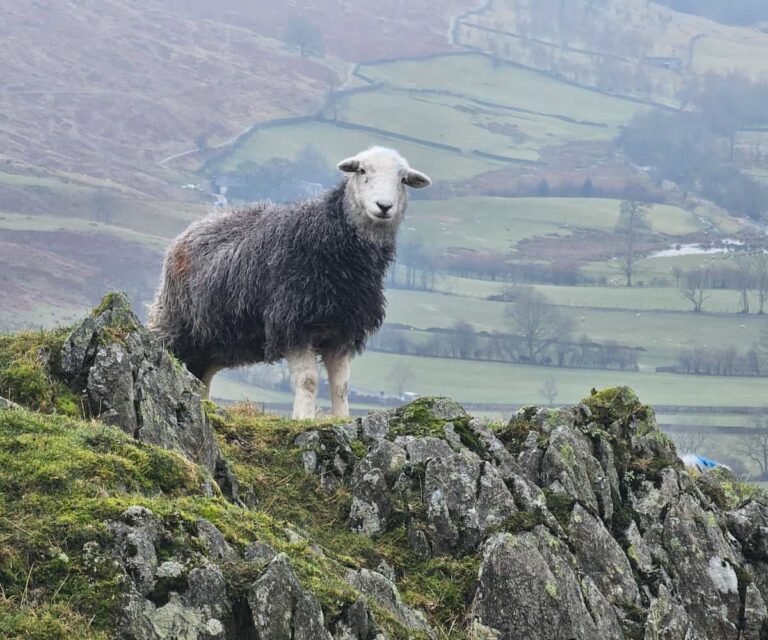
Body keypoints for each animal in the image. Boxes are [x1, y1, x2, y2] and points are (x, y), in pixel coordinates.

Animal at [148, 146, 431, 419]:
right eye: (362, 170)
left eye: (403, 179)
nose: (384, 206)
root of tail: (194, 228)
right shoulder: (292, 325)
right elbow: (308, 381)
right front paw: (303, 419)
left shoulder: (342, 329)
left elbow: (341, 385)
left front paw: (341, 419)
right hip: (173, 321)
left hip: (212, 342)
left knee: (200, 376)